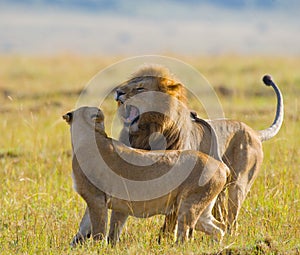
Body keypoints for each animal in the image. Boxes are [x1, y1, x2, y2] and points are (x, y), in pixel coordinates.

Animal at [62, 106, 227, 245]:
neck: (91, 133)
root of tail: (220, 165)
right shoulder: (110, 202)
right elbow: (89, 228)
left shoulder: (96, 197)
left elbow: (98, 230)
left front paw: (98, 248)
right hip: (201, 209)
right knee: (219, 228)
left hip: (188, 205)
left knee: (185, 235)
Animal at [114, 64, 284, 236]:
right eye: (129, 83)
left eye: (140, 88)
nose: (118, 91)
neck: (148, 132)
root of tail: (254, 132)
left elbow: (170, 220)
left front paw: (166, 238)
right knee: (220, 216)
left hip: (238, 186)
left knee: (232, 219)